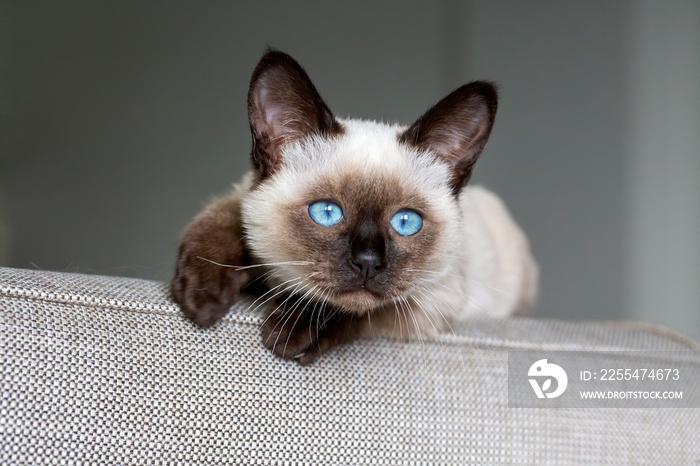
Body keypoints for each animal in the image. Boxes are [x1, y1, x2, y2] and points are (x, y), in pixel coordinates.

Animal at [172, 50, 540, 364]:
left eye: (406, 222)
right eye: (327, 213)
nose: (367, 263)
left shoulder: (432, 300)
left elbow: (361, 309)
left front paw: (292, 330)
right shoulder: (240, 197)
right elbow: (225, 216)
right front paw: (202, 298)